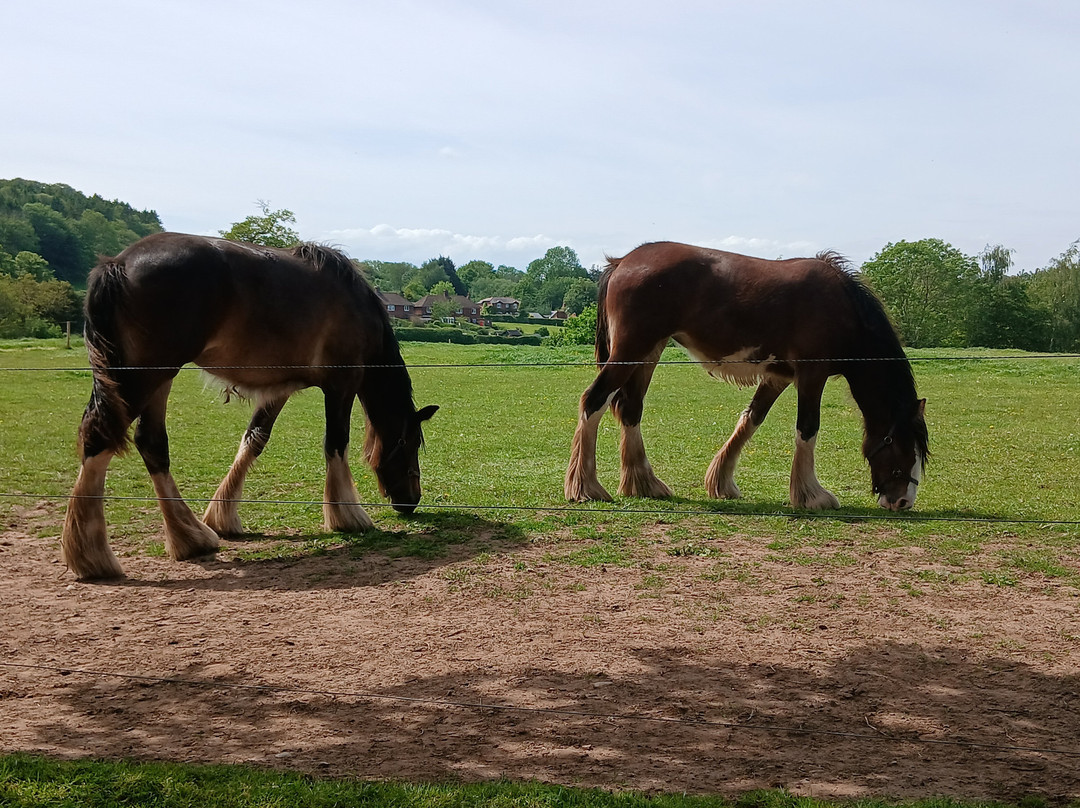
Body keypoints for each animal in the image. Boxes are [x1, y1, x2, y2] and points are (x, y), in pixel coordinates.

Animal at [62, 232, 438, 580]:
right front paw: (347, 515)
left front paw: (223, 516)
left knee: (151, 444)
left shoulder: (278, 390)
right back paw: (90, 554)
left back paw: (190, 537)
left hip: (157, 380)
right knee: (100, 438)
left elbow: (254, 440)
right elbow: (336, 444)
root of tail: (119, 264)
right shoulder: (341, 386)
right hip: (142, 379)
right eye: (409, 444)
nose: (411, 500)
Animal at [565, 241, 928, 511]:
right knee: (593, 401)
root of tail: (622, 262)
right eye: (902, 446)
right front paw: (812, 495)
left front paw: (722, 482)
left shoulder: (777, 377)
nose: (903, 501)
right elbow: (807, 428)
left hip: (648, 354)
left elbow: (751, 420)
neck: (843, 307)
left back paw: (644, 484)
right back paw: (586, 487)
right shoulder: (812, 374)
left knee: (631, 410)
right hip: (631, 351)